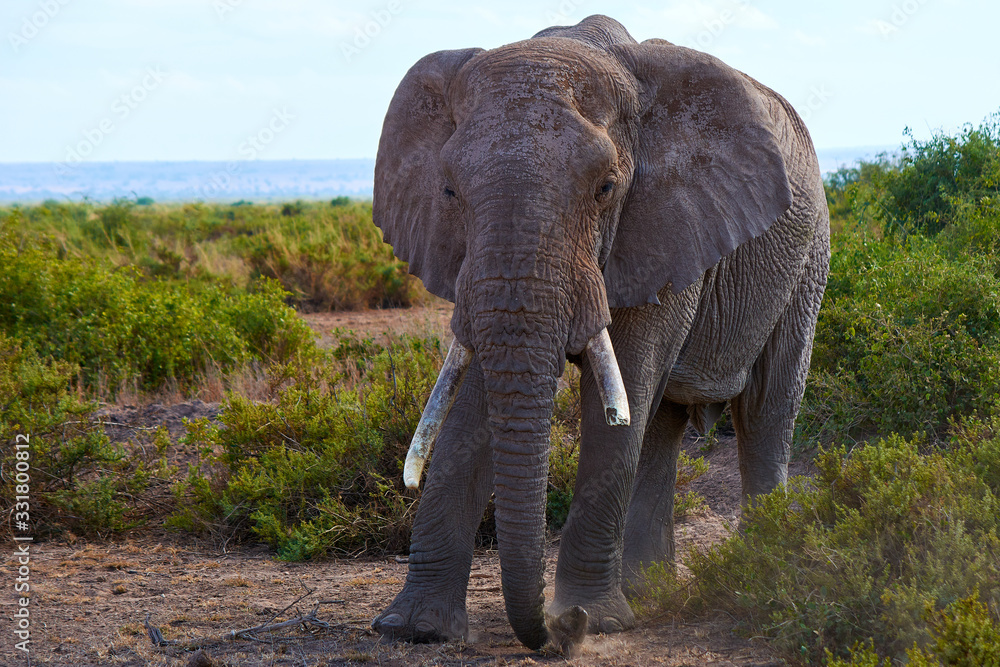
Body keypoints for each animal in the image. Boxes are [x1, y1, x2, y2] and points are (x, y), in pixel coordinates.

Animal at [369, 14, 830, 651]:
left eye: (606, 188)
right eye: (450, 191)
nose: (559, 632)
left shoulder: (664, 224)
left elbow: (624, 388)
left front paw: (597, 620)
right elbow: (476, 402)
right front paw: (412, 629)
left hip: (809, 255)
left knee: (765, 408)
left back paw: (754, 577)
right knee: (661, 425)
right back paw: (650, 593)